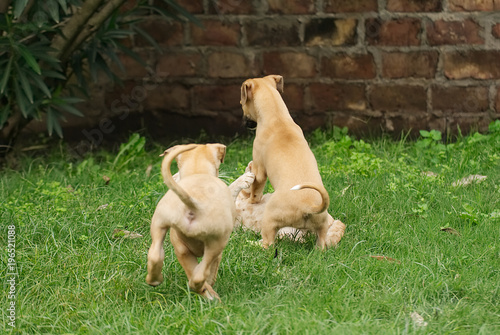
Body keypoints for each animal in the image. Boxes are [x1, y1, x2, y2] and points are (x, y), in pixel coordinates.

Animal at [146, 143, 235, 300]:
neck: (197, 172)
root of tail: (193, 201)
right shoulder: (217, 253)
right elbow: (210, 272)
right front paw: (209, 287)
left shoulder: (181, 249)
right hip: (217, 242)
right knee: (200, 275)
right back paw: (208, 294)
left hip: (159, 223)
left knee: (155, 255)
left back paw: (155, 279)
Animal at [240, 75, 346, 249]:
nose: (245, 123)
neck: (277, 117)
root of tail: (308, 207)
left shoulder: (259, 169)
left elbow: (255, 190)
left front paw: (250, 200)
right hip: (322, 227)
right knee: (321, 245)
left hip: (270, 217)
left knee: (268, 243)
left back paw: (251, 243)